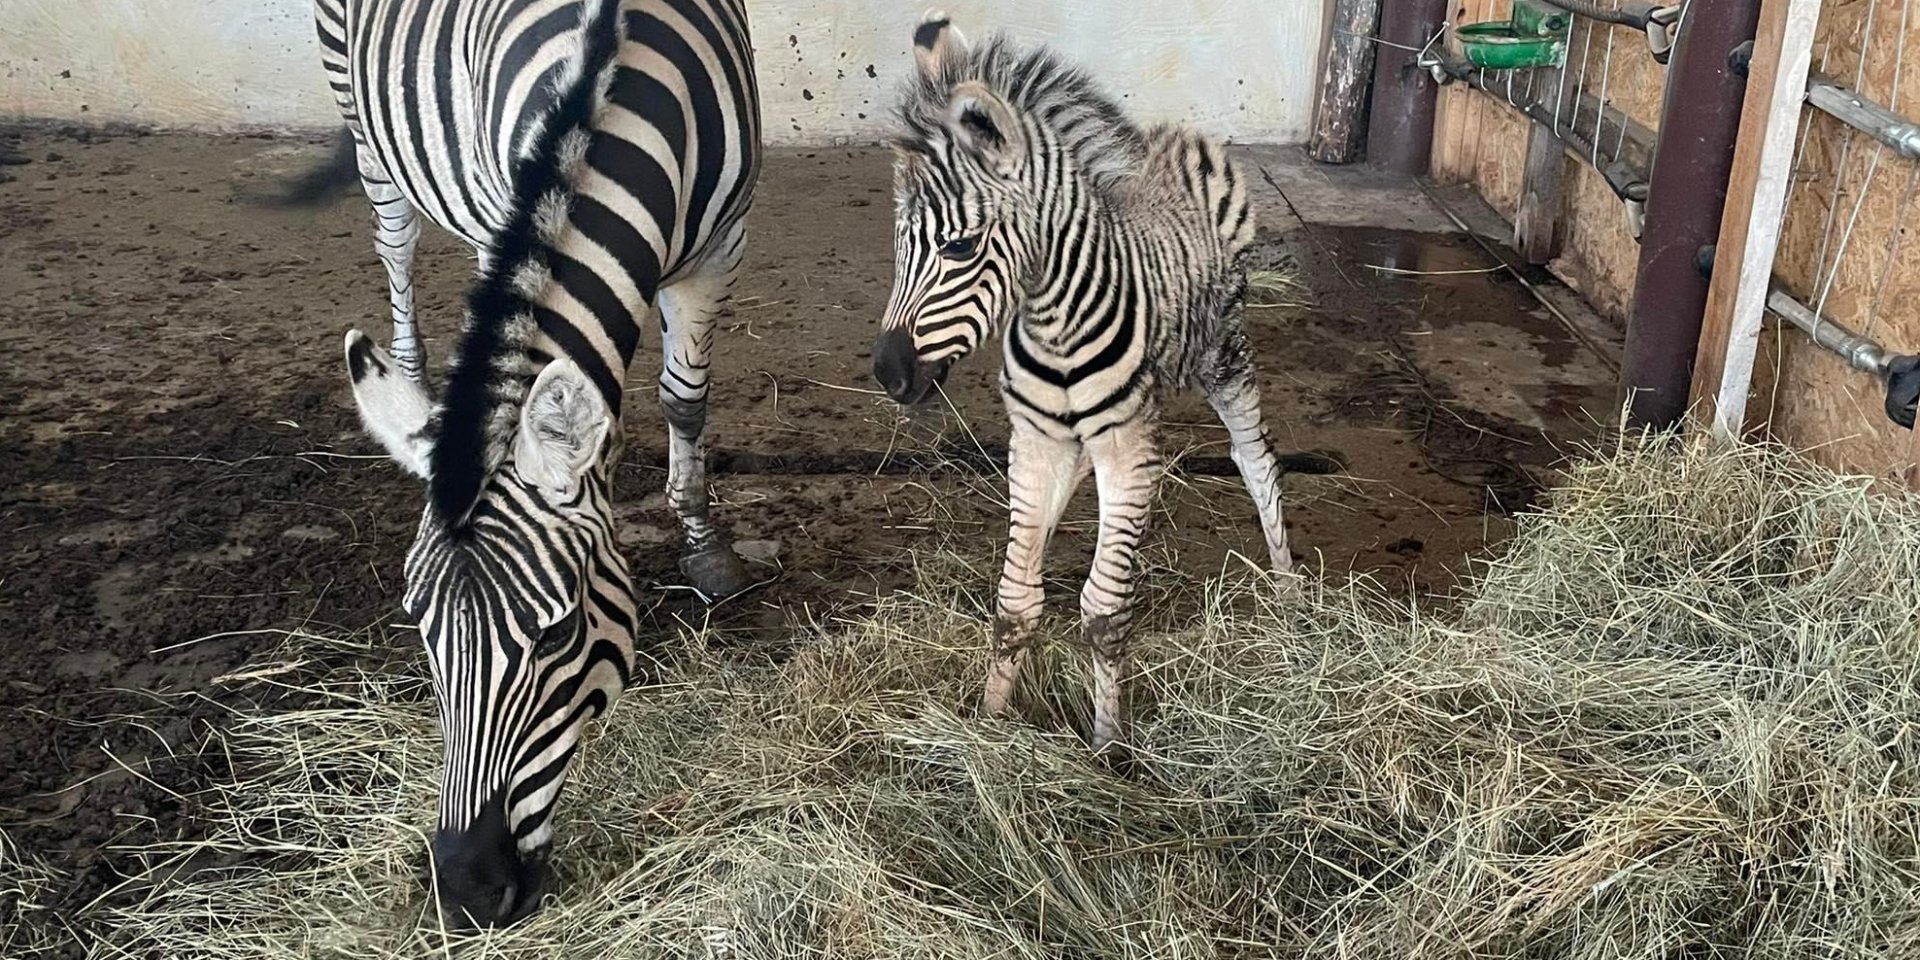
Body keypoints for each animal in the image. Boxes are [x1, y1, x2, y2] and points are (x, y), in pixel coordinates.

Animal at [300, 0, 760, 928]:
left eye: (556, 634)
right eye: (418, 629)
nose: (467, 891)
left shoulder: (718, 249)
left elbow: (684, 397)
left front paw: (702, 543)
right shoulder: (502, 213)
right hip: (365, 125)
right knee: (396, 244)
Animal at [872, 14, 1300, 753]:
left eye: (960, 248)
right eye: (899, 244)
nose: (888, 374)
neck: (1054, 320)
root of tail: (1176, 141)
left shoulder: (1128, 445)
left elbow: (1104, 609)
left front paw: (1107, 749)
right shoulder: (1036, 436)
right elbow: (1015, 600)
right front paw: (991, 723)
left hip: (1225, 353)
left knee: (1255, 459)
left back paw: (1289, 590)